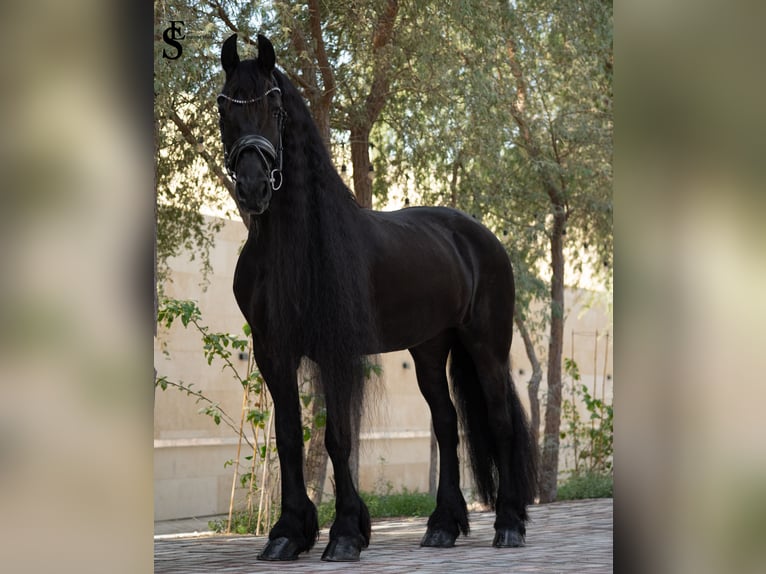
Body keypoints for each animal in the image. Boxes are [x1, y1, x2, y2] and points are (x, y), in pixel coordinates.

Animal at [217, 33, 537, 562]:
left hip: (485, 345)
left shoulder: (334, 351)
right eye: (225, 106)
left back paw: (509, 524)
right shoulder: (273, 351)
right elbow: (289, 437)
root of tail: (480, 236)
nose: (253, 186)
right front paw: (287, 533)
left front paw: (346, 533)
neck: (298, 246)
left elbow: (338, 438)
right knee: (446, 423)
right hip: (429, 348)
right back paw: (442, 526)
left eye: (274, 107)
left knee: (499, 420)